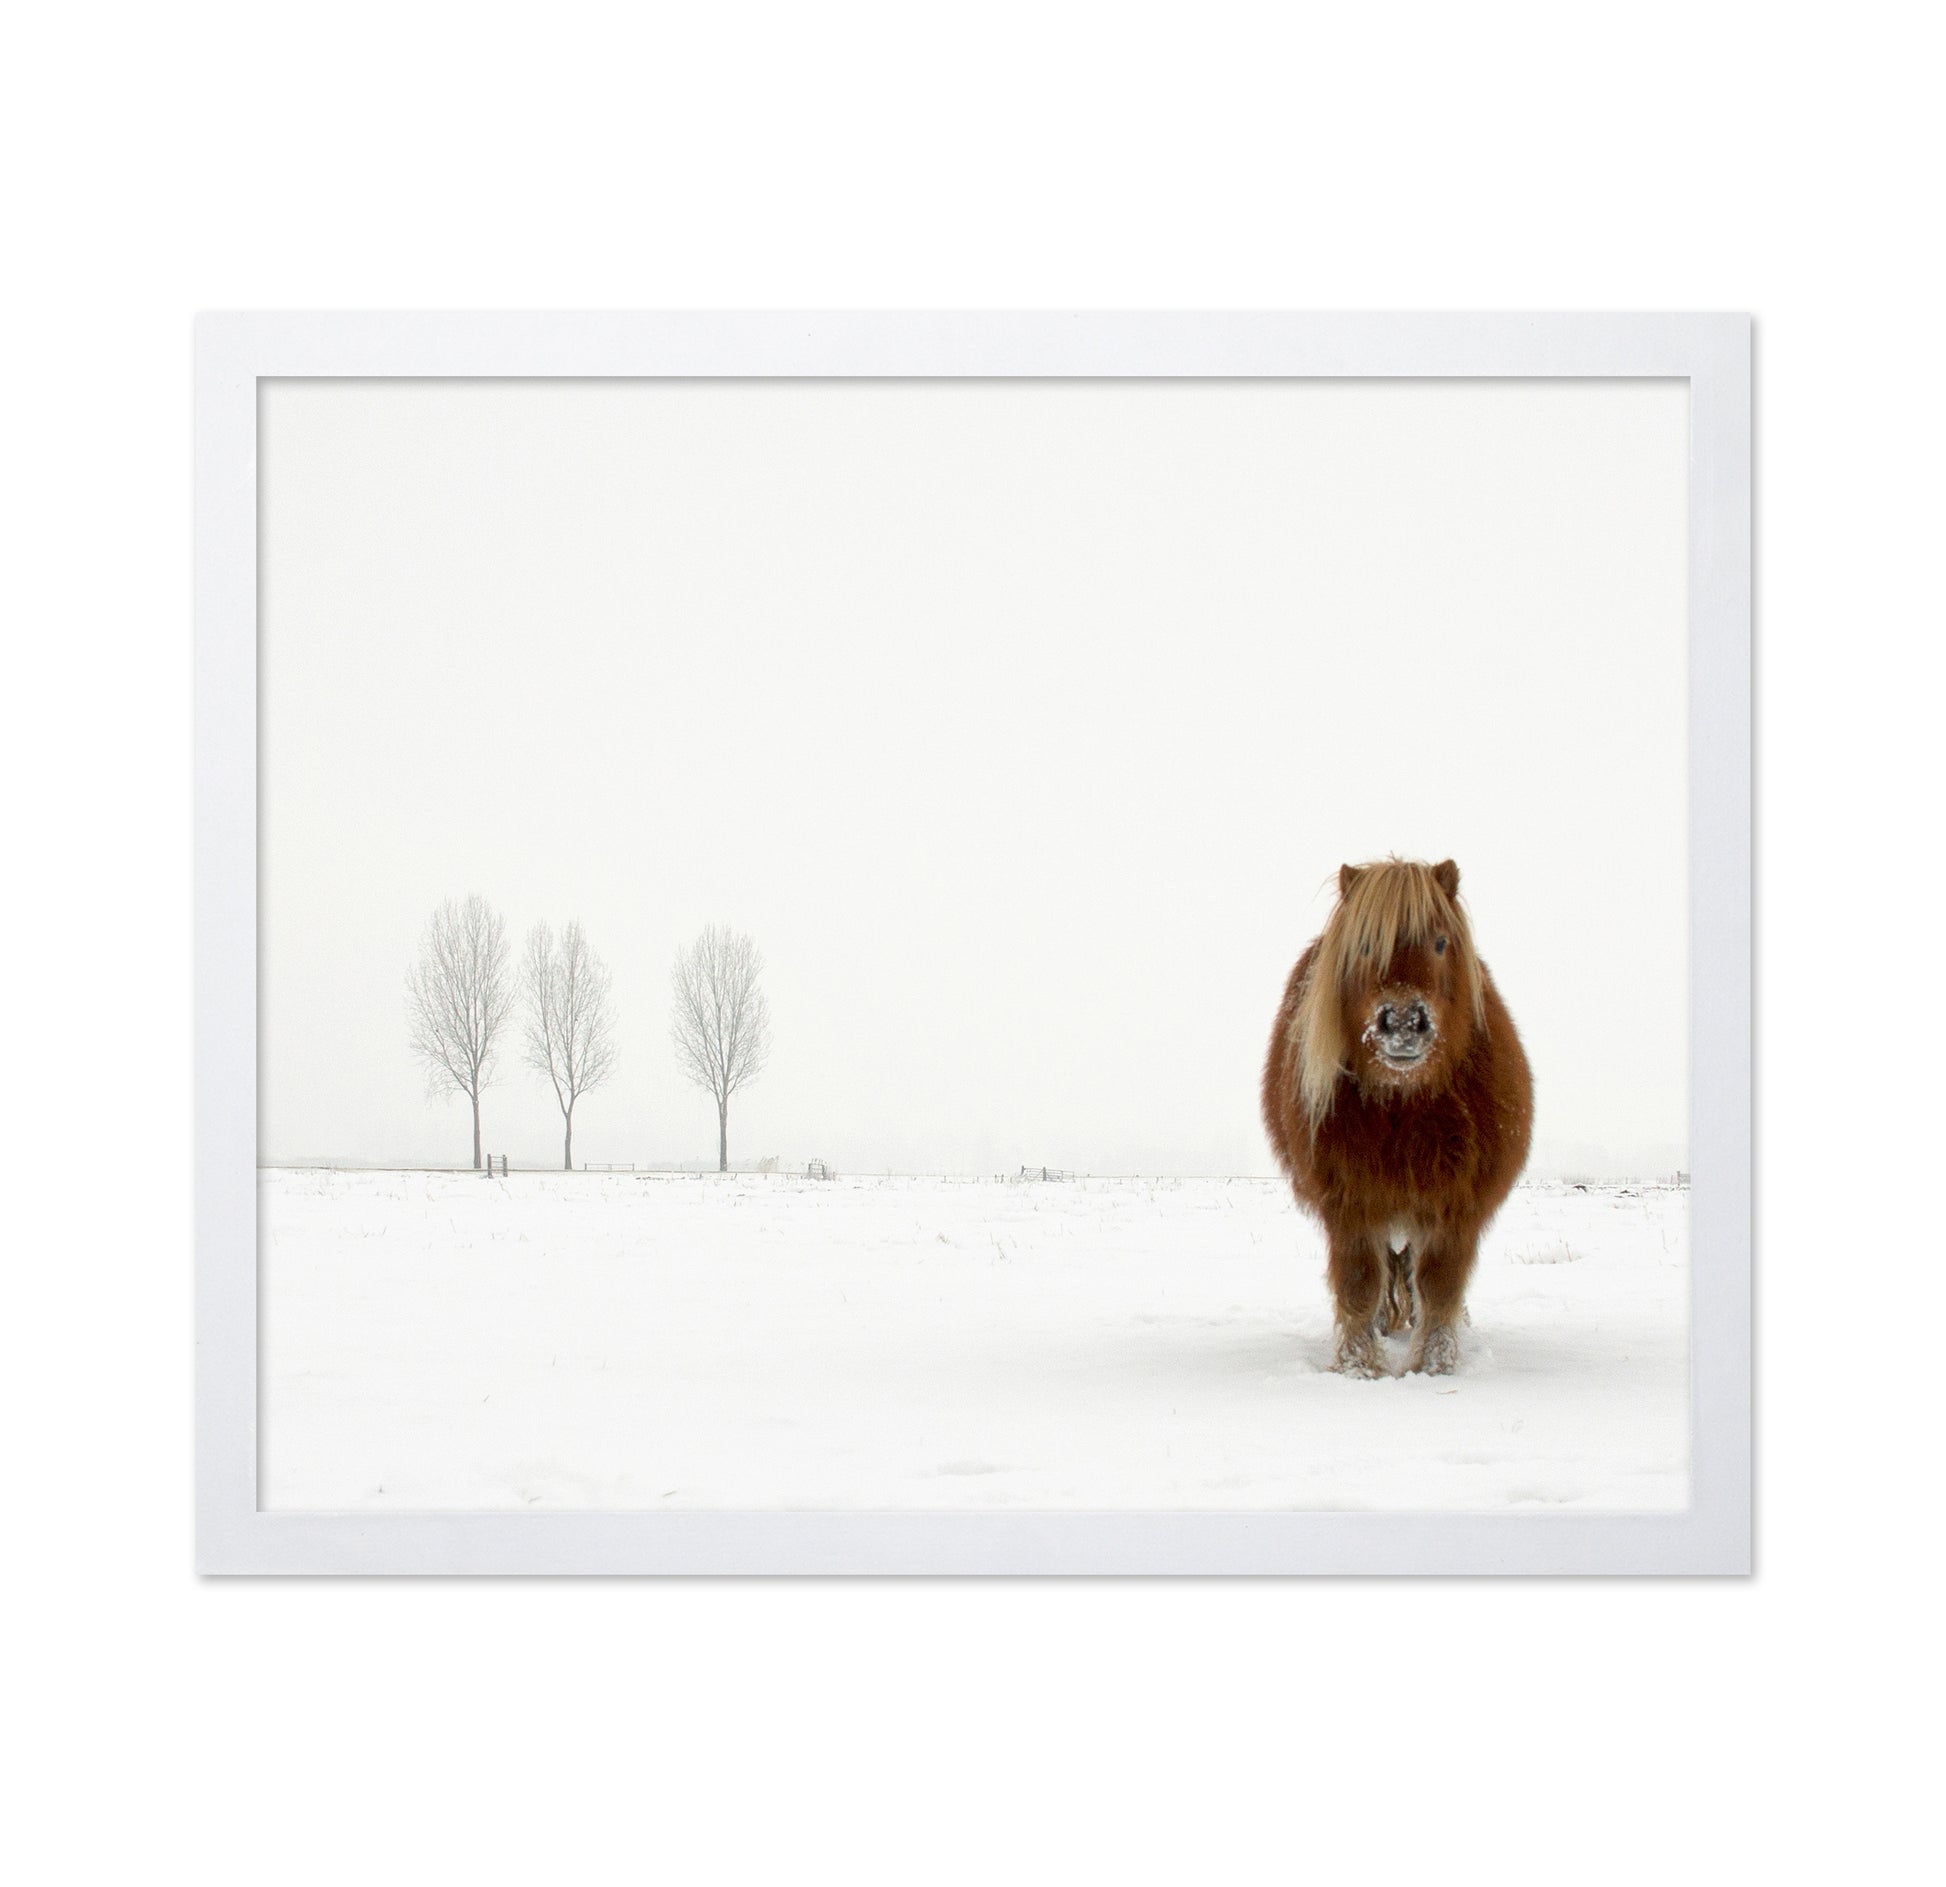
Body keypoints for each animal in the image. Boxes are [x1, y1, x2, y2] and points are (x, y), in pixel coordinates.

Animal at [1261, 858, 1533, 1377]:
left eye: (1441, 942)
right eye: (1365, 945)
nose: (1404, 1023)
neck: (1404, 1105)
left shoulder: (1455, 1207)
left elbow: (1440, 1287)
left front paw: (1434, 1366)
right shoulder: (1350, 1205)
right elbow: (1360, 1286)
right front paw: (1358, 1366)